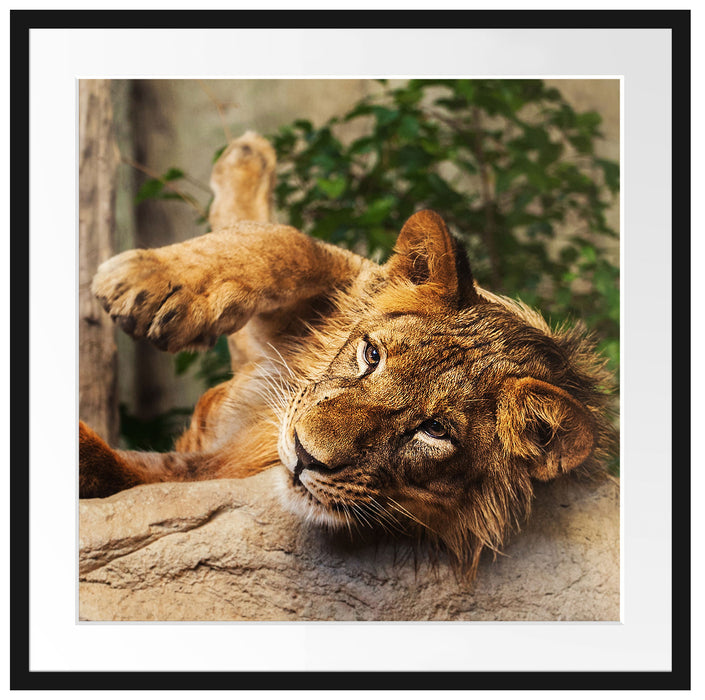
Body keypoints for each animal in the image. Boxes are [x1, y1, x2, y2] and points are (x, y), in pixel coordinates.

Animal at [79, 131, 617, 578]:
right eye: (371, 355)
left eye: (435, 431)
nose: (302, 455)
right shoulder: (335, 290)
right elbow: (288, 244)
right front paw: (145, 283)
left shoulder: (202, 472)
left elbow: (116, 471)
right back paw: (248, 155)